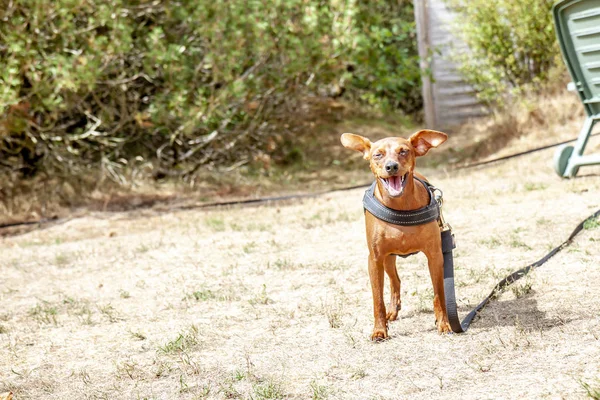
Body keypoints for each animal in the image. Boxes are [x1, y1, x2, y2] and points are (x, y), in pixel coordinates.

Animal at [342, 130, 450, 340]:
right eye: (378, 154)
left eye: (404, 151)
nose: (391, 166)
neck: (400, 207)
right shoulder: (375, 259)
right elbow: (377, 299)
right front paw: (379, 329)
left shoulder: (435, 256)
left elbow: (439, 294)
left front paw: (444, 323)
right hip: (387, 259)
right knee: (395, 281)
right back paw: (392, 310)